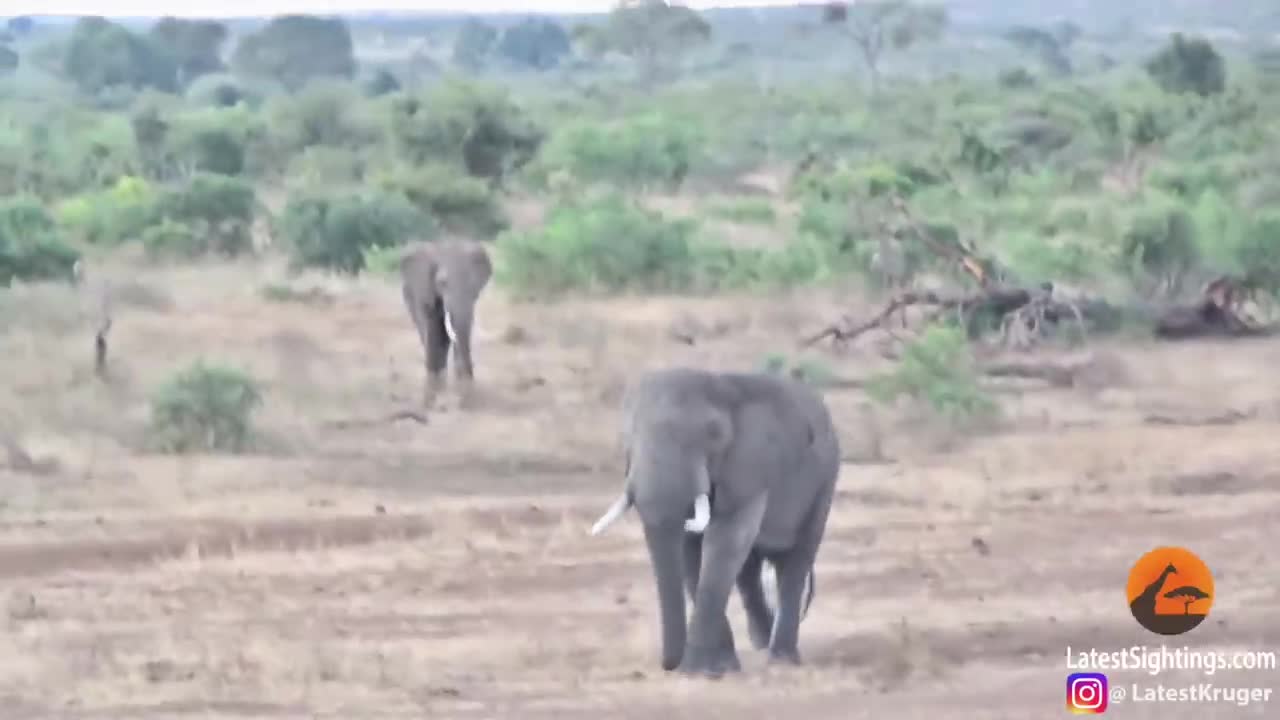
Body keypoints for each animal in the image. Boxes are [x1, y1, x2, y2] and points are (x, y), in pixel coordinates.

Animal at [399, 239, 494, 407]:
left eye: (473, 284)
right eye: (442, 283)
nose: (468, 399)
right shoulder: (424, 292)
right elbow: (433, 329)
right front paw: (430, 400)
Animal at [586, 366, 839, 676]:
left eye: (713, 434)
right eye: (627, 436)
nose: (669, 665)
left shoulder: (750, 468)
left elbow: (725, 541)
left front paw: (697, 670)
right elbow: (690, 549)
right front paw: (720, 667)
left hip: (825, 480)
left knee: (796, 559)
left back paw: (781, 658)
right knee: (749, 570)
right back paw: (762, 644)